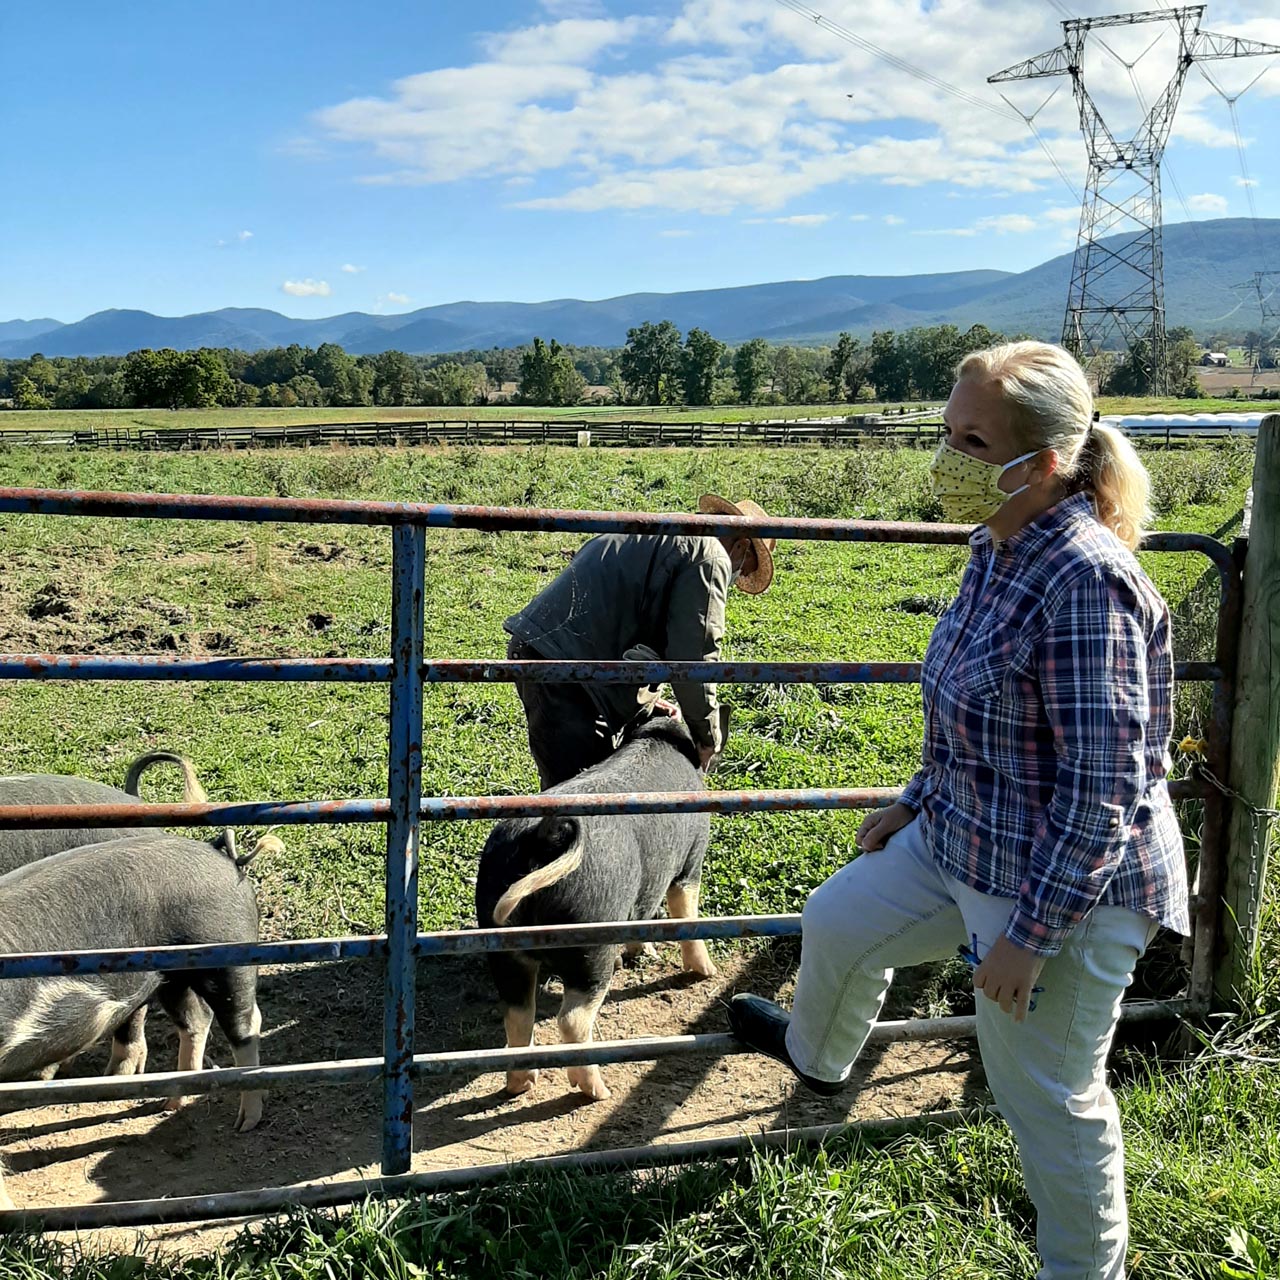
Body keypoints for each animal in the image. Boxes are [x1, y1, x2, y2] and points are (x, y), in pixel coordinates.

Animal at [0, 829, 267, 1208]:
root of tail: (221, 855)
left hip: (228, 954)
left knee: (245, 1025)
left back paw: (245, 1123)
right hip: (170, 977)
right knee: (197, 1019)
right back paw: (170, 1103)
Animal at [478, 721, 721, 1100]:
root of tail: (545, 836)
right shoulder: (691, 860)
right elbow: (686, 911)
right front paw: (708, 972)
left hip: (501, 944)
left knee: (517, 1012)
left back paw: (520, 1086)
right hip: (591, 942)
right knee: (572, 1018)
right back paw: (599, 1092)